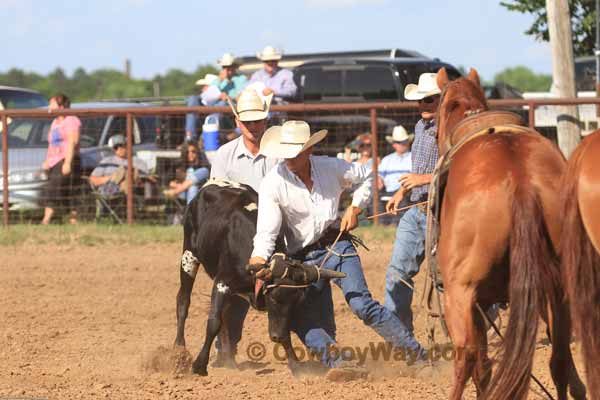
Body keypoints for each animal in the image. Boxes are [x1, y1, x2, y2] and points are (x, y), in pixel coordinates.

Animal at [434, 69, 584, 400]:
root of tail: (521, 181)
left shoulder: (477, 302)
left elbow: (481, 364)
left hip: (459, 293)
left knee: (466, 358)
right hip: (559, 288)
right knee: (560, 357)